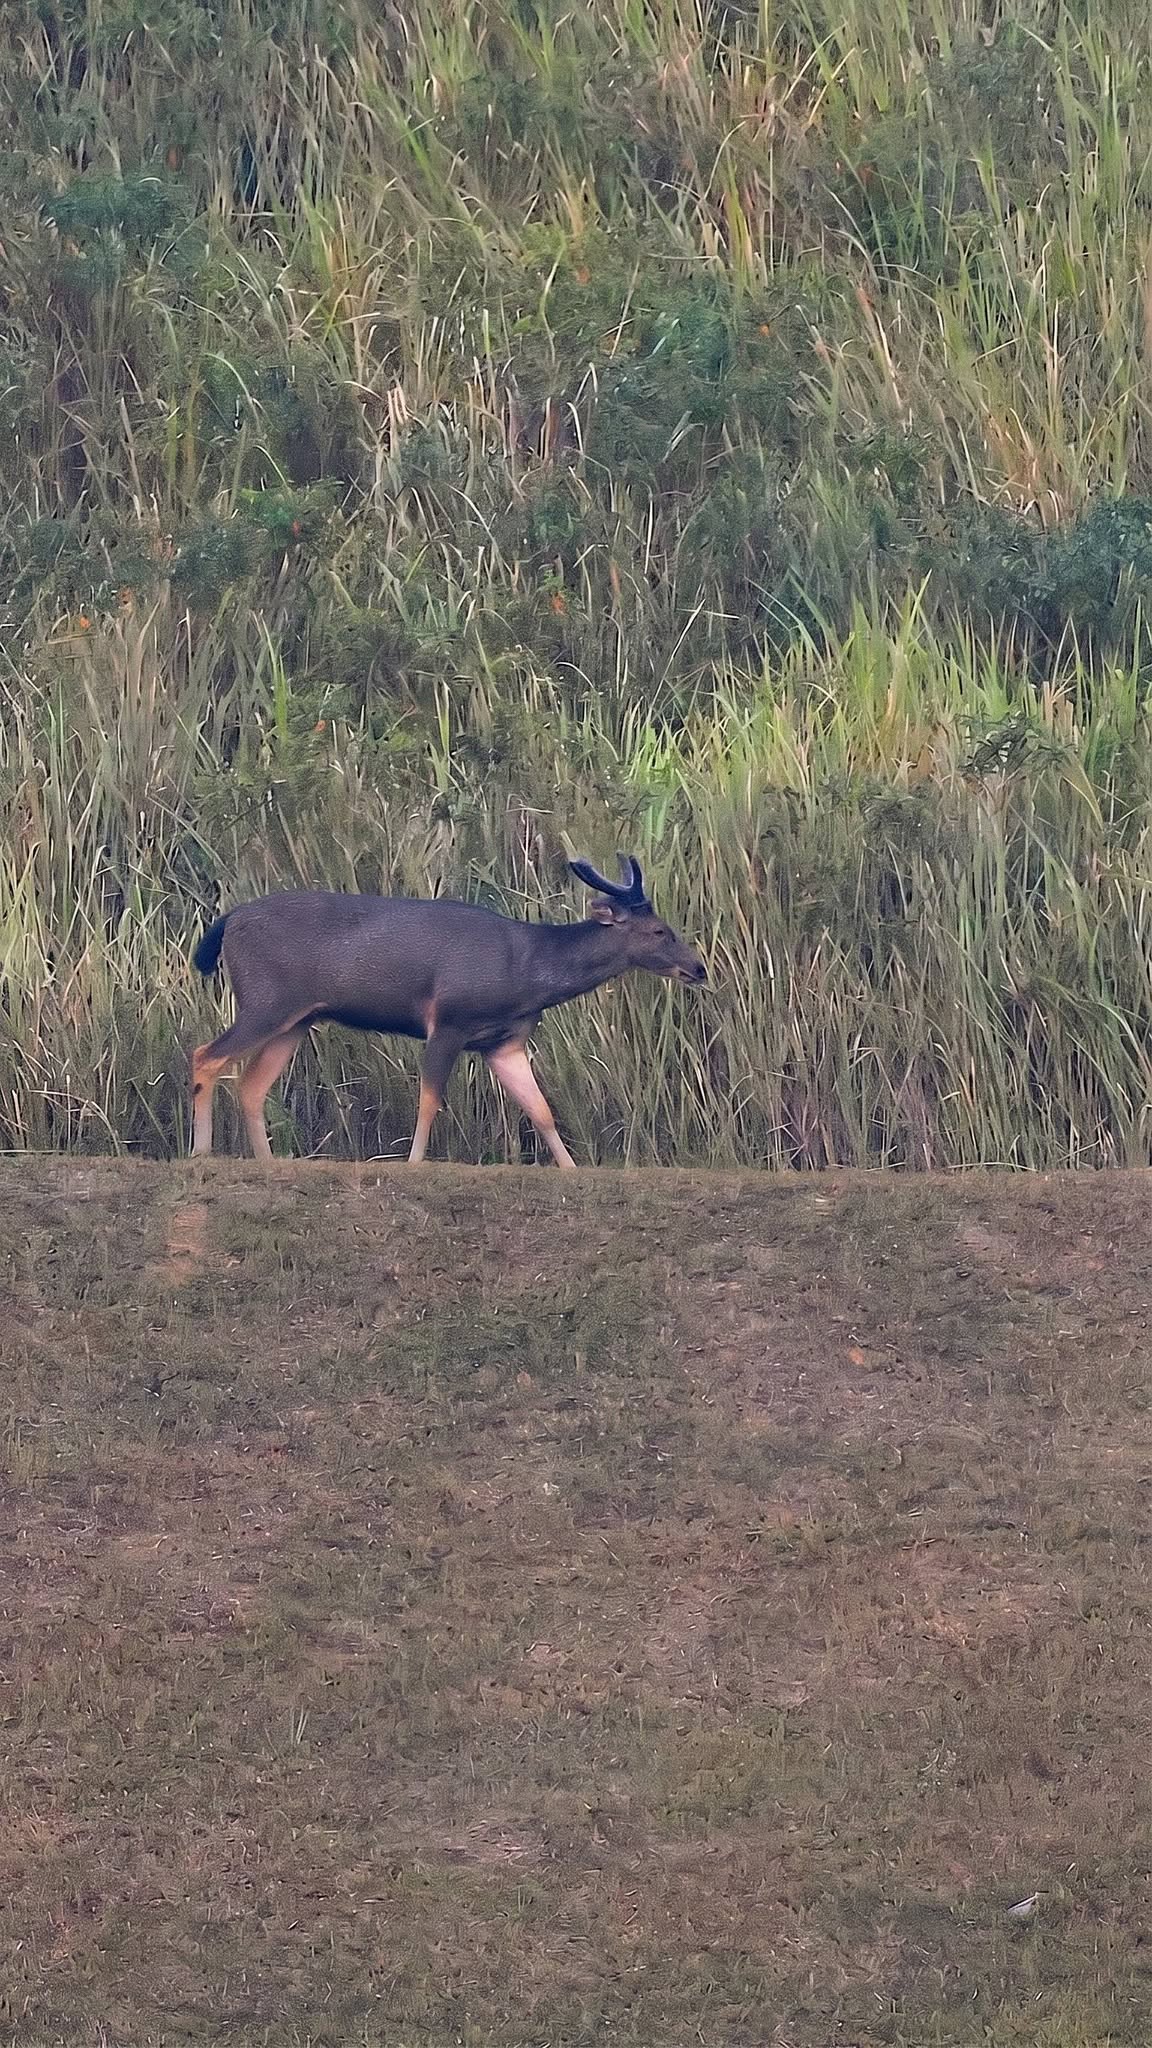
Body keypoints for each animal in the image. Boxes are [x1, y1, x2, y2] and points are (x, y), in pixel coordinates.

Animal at [189, 855, 706, 1166]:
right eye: (659, 931)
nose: (698, 968)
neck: (527, 971)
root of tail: (227, 921)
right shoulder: (449, 1020)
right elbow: (430, 1100)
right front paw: (415, 1163)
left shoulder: (504, 1043)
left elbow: (541, 1110)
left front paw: (572, 1170)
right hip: (266, 999)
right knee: (205, 1055)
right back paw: (201, 1152)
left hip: (297, 1018)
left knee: (252, 1084)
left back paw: (267, 1162)